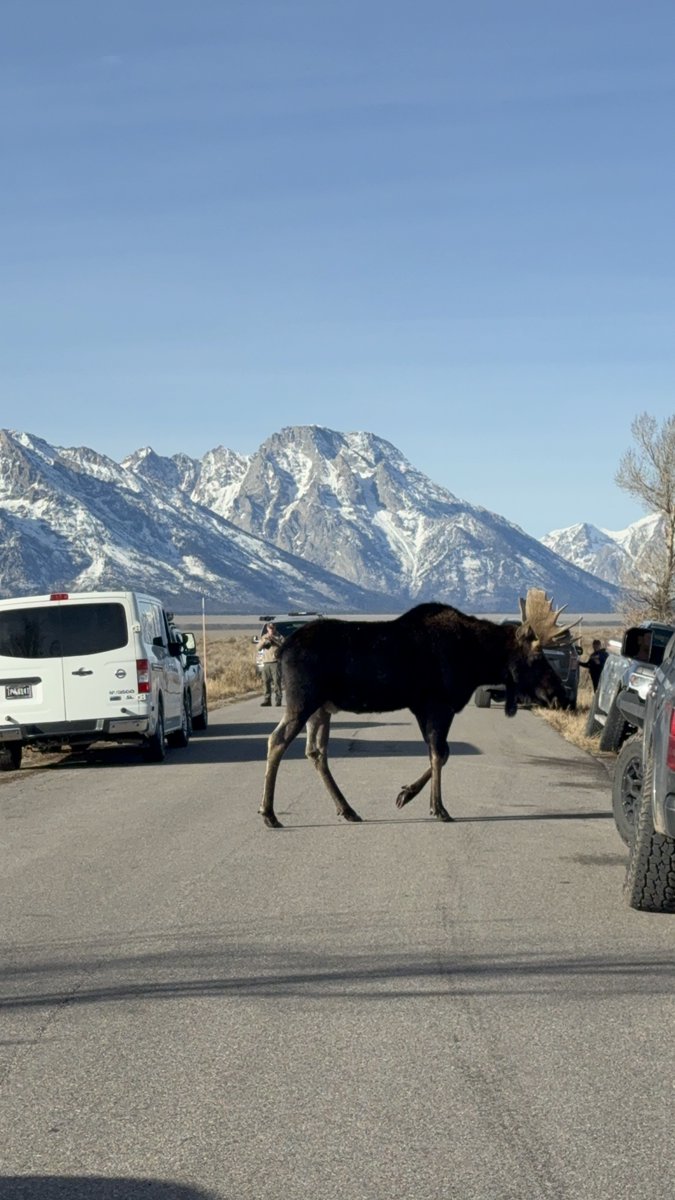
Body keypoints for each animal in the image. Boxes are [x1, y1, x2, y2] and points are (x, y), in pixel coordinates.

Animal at [259, 589, 575, 828]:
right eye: (537, 656)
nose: (559, 694)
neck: (477, 660)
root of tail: (283, 647)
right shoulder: (438, 704)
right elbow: (439, 753)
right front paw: (439, 808)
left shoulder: (424, 707)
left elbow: (442, 753)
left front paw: (407, 794)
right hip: (302, 700)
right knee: (277, 740)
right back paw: (269, 813)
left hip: (321, 707)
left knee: (315, 752)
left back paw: (347, 809)